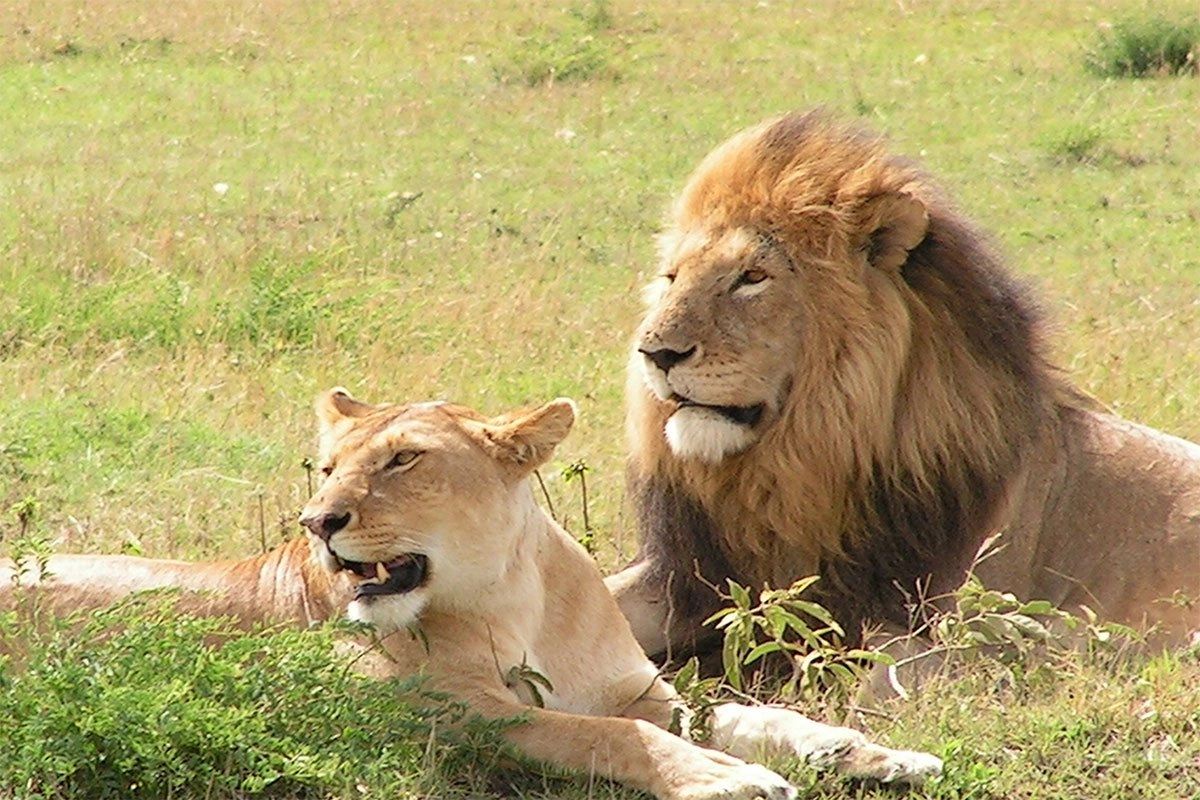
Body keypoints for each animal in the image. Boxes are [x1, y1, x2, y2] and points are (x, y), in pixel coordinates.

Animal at [0, 388, 940, 796]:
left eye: (402, 461)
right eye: (330, 468)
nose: (317, 521)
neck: (508, 595)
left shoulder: (645, 691)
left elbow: (747, 712)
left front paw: (869, 754)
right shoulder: (449, 715)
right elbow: (606, 735)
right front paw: (728, 780)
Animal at [609, 109, 1200, 666]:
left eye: (752, 277)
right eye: (672, 278)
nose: (655, 353)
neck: (796, 465)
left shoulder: (950, 618)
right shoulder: (689, 577)